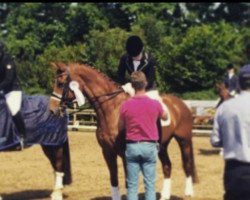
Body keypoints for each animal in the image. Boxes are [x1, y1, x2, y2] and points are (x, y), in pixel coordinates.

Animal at [48, 62, 197, 200]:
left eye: (60, 83)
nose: (52, 110)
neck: (112, 110)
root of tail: (180, 103)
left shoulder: (126, 154)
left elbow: (128, 181)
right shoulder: (107, 151)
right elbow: (114, 179)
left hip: (184, 140)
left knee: (187, 164)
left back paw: (188, 193)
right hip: (162, 145)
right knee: (167, 166)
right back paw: (165, 196)